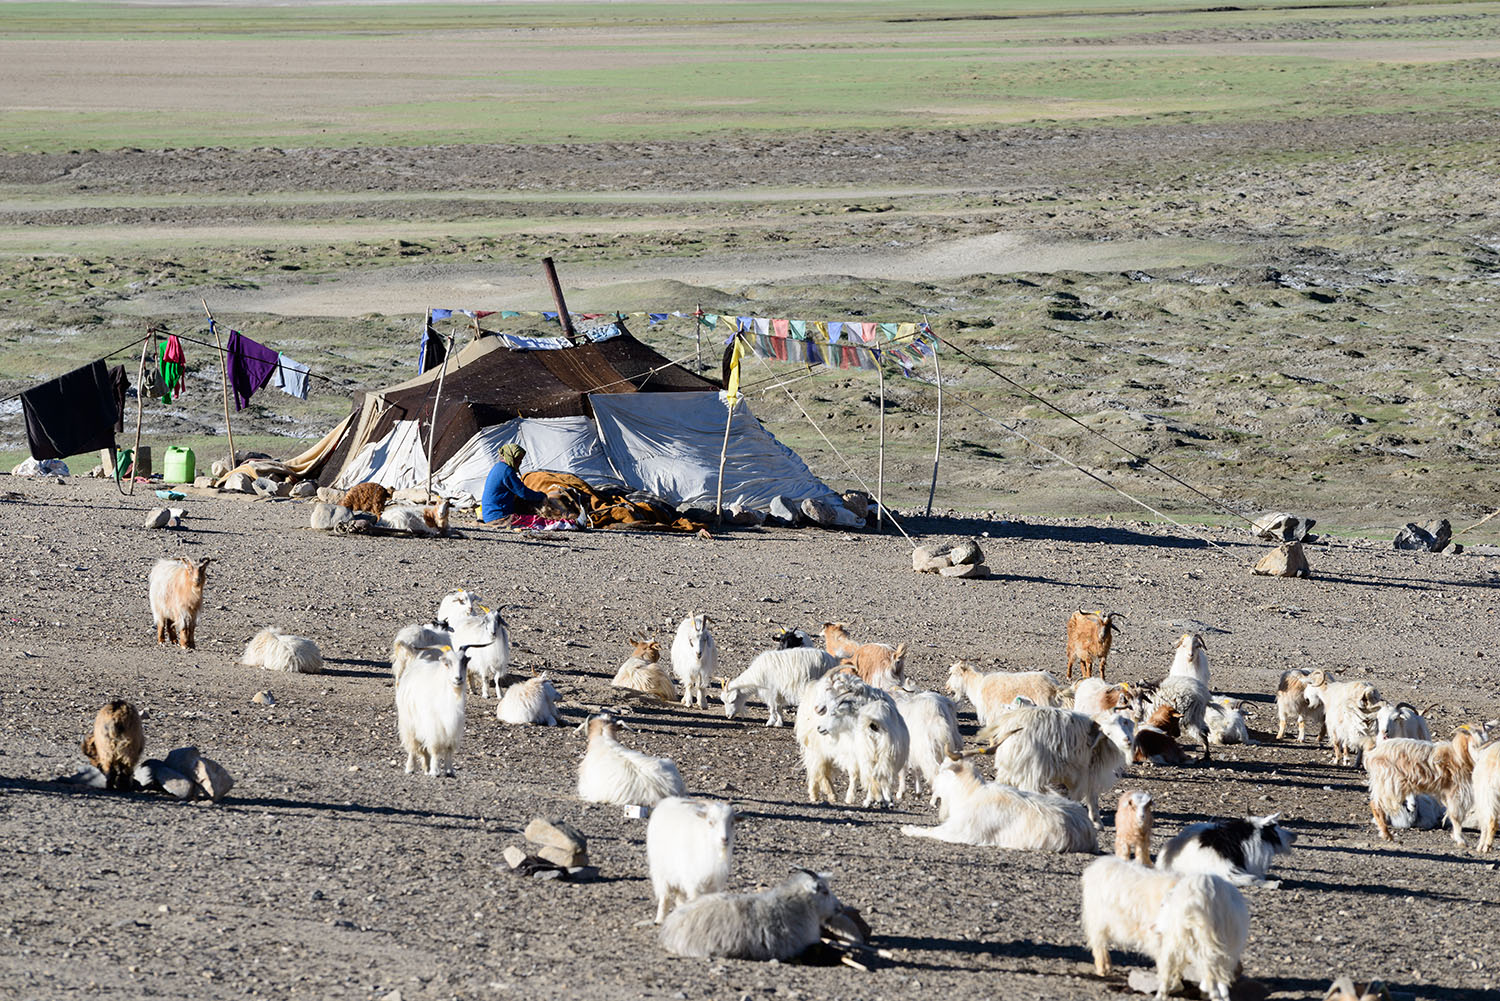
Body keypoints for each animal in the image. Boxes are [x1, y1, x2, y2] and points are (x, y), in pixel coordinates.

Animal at [393, 645, 468, 780]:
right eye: (447, 663)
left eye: (465, 662)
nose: (458, 678)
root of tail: (416, 662)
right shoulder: (434, 728)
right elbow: (435, 749)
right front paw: (435, 771)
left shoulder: (452, 730)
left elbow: (448, 750)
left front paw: (449, 771)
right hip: (409, 723)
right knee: (413, 746)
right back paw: (410, 768)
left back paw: (426, 768)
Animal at [978, 705, 1122, 822]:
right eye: (1108, 730)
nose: (1125, 740)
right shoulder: (1085, 773)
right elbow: (1088, 795)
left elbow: (1091, 796)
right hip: (1032, 767)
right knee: (1032, 789)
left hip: (1013, 766)